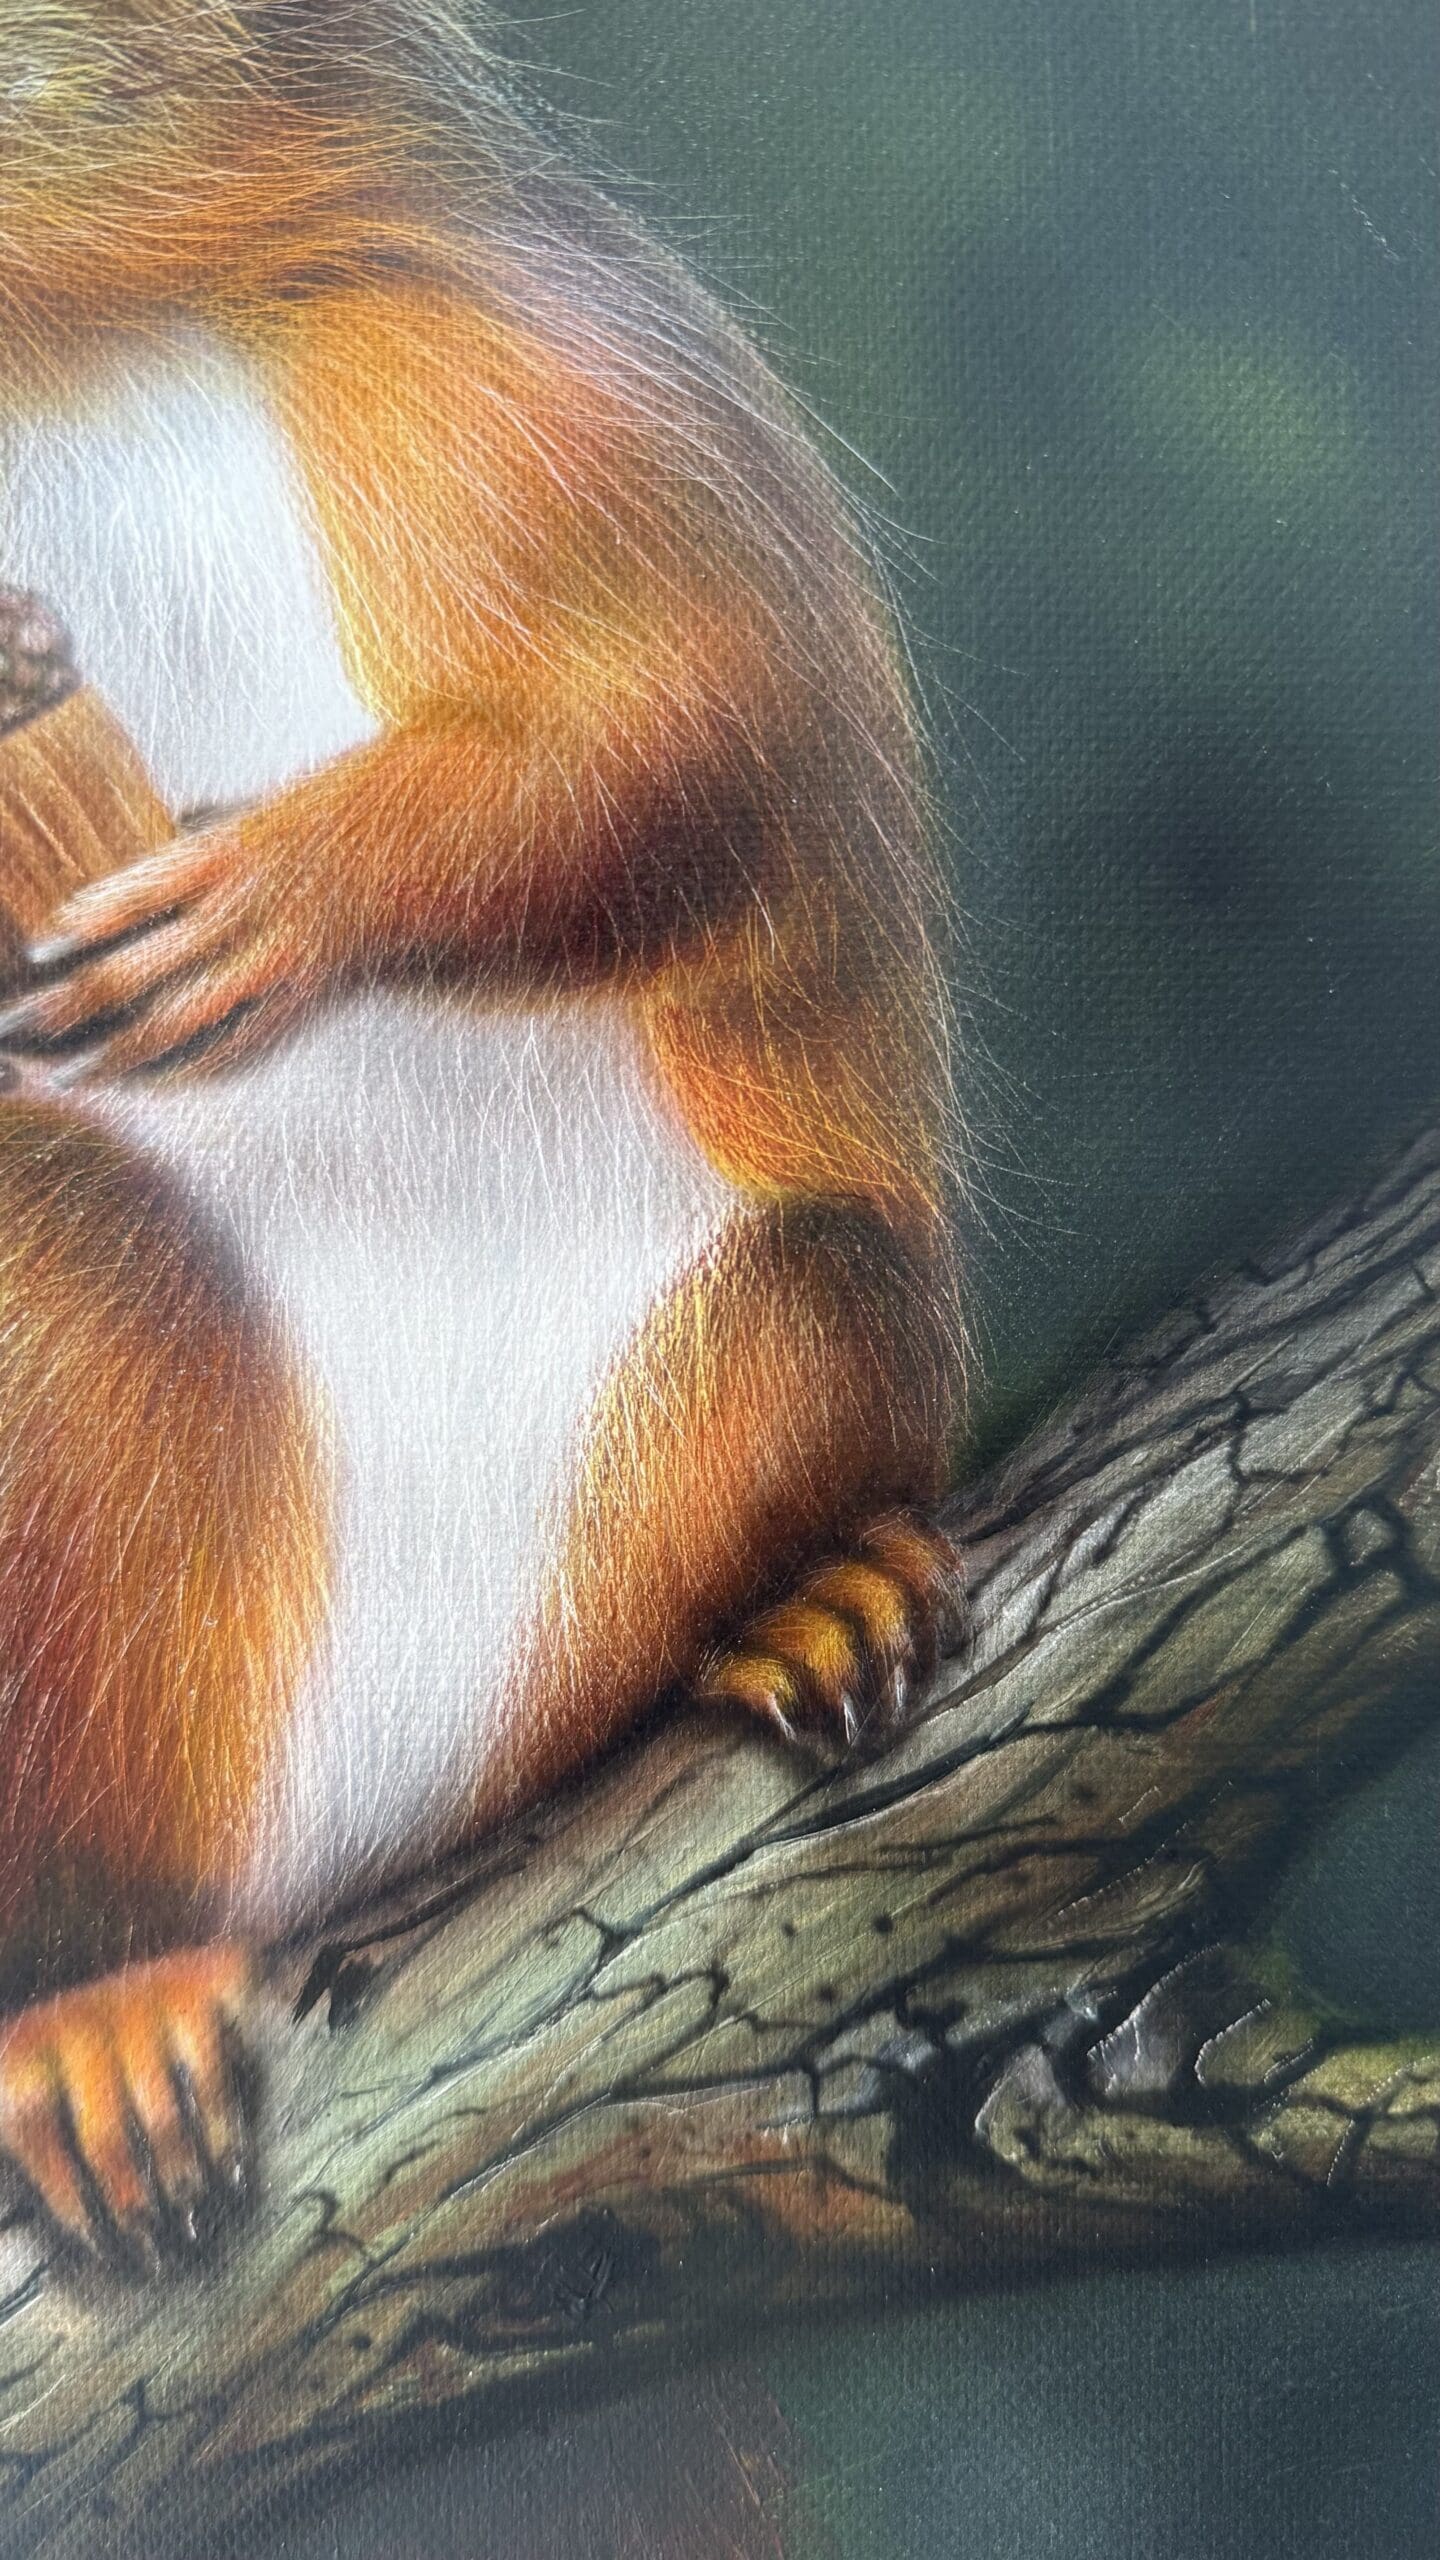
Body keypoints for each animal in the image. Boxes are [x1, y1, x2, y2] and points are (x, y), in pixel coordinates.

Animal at [0, 0, 964, 2264]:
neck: (67, 344)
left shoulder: (508, 355)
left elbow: (696, 733)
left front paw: (289, 891)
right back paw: (86, 2005)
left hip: (772, 1364)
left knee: (815, 1293)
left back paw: (788, 1607)